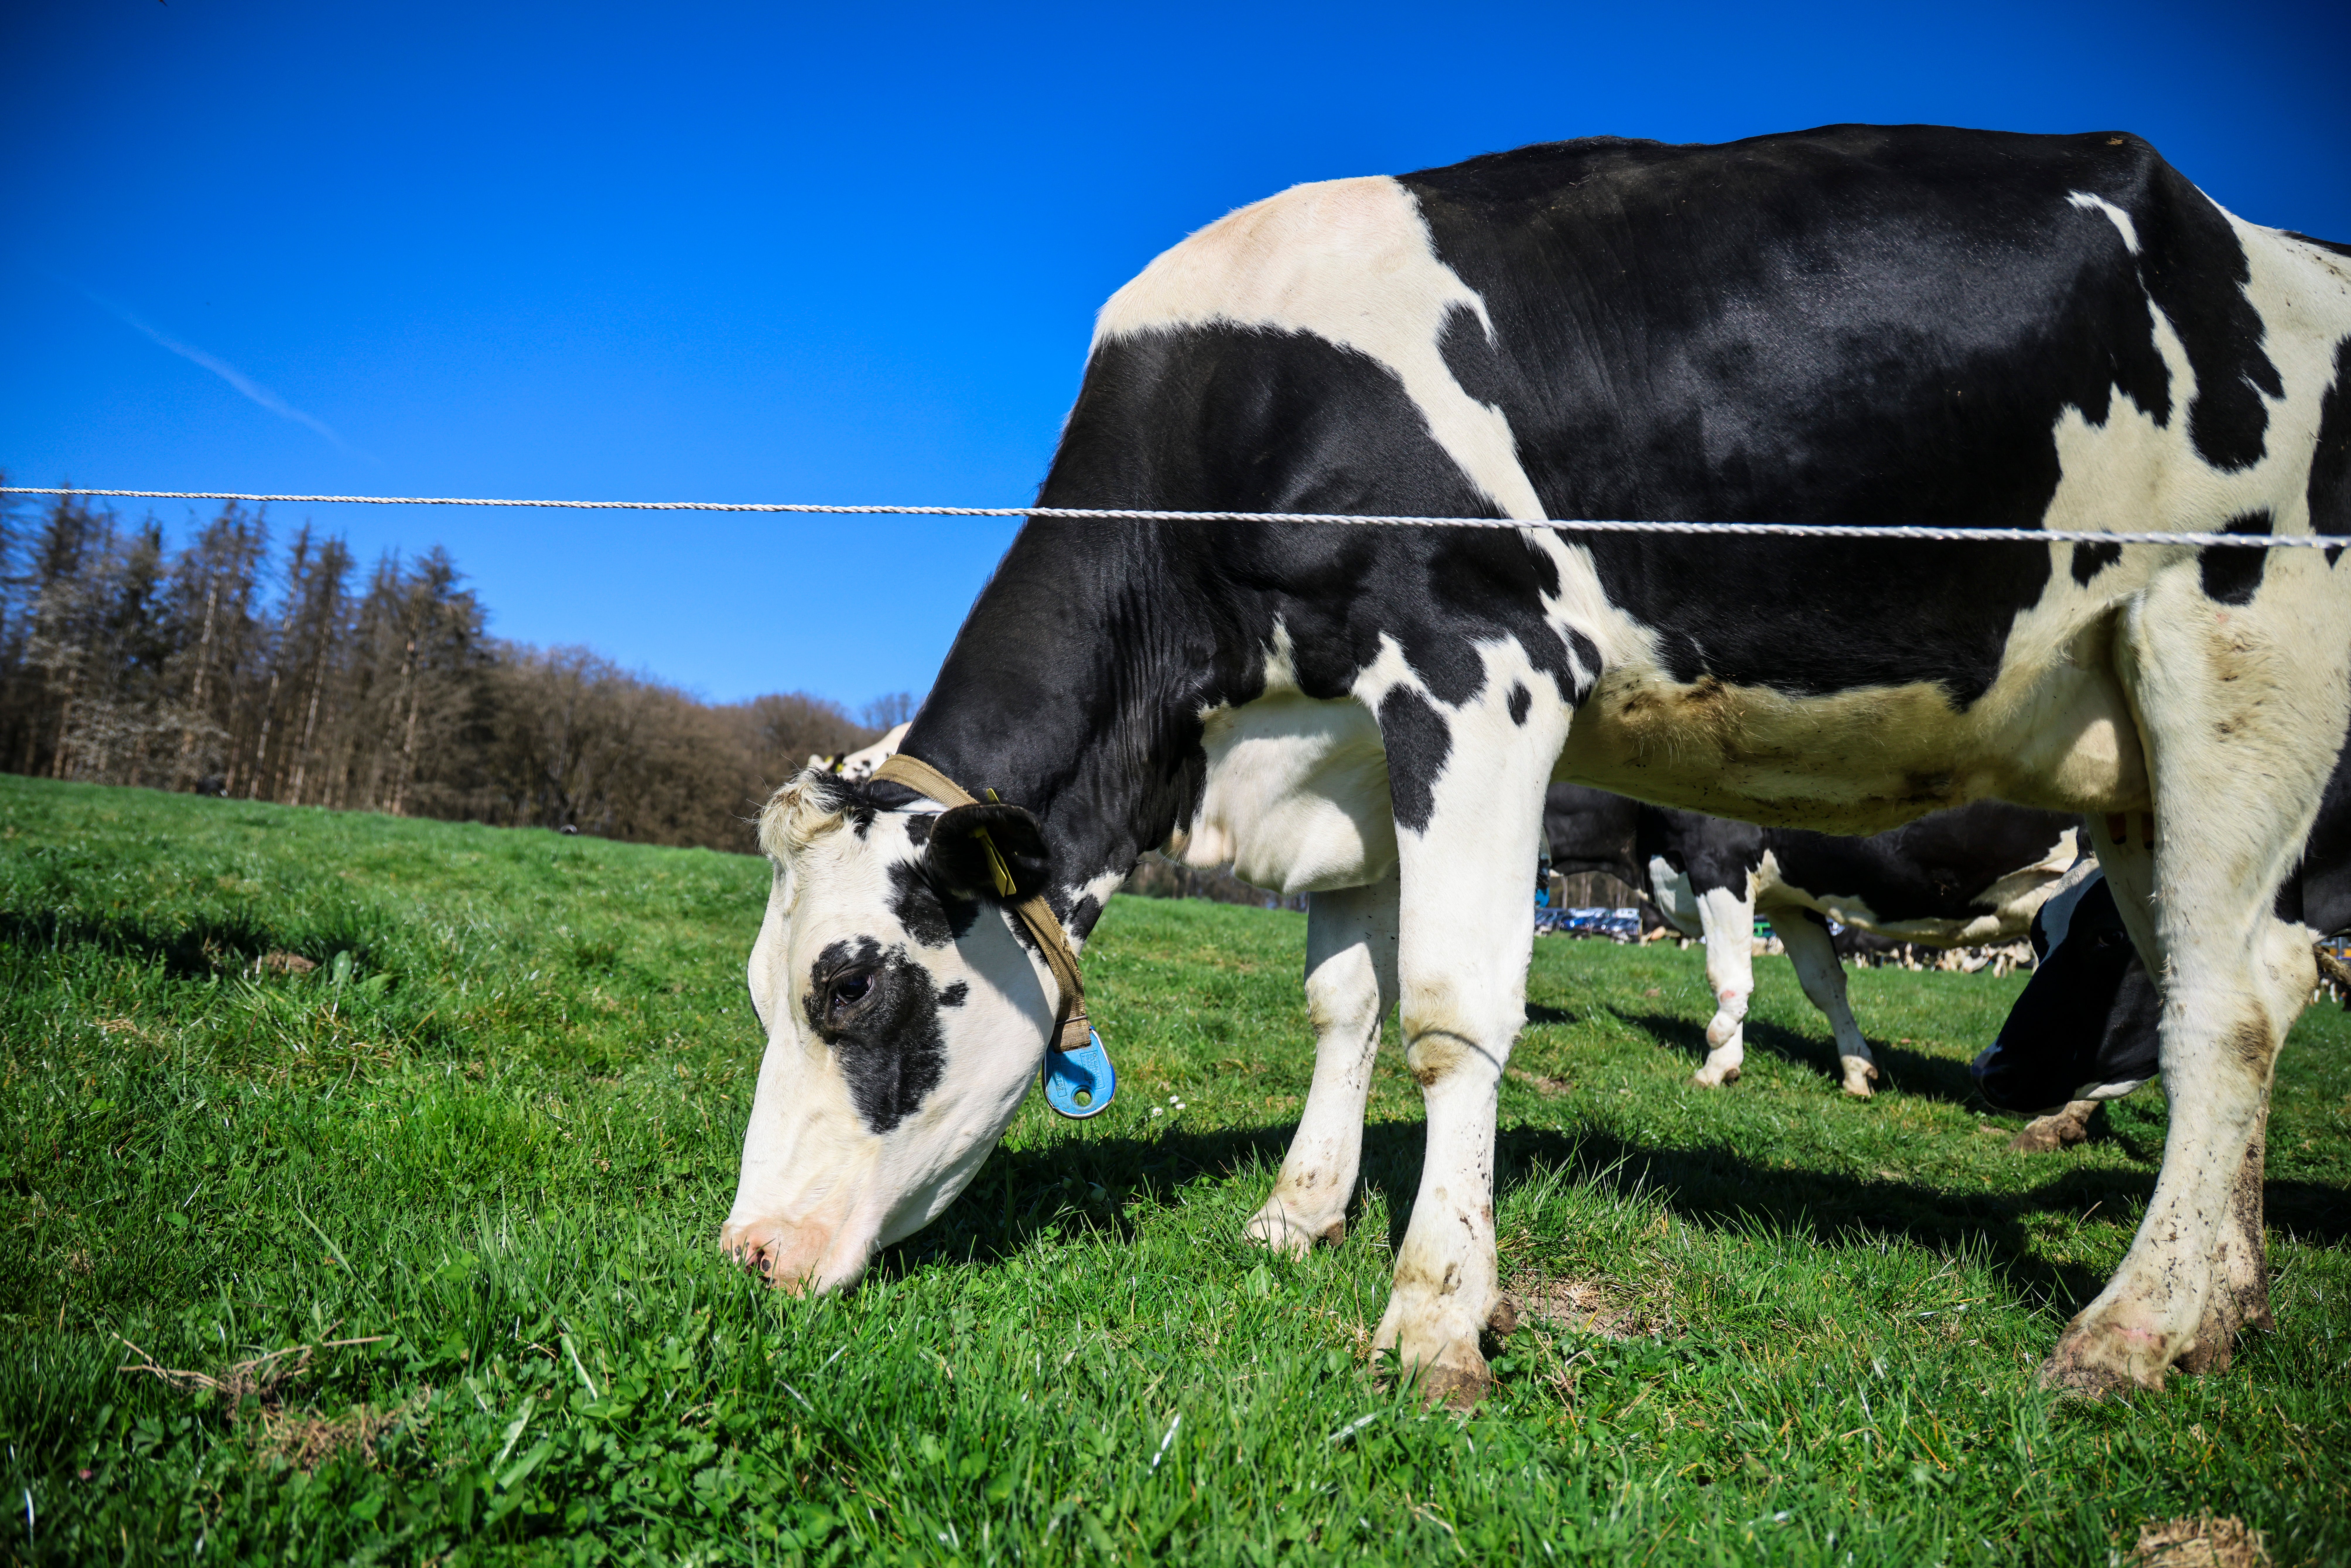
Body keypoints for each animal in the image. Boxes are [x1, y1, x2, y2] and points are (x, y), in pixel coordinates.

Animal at [725, 125, 2351, 1404]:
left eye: (849, 985)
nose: (748, 1253)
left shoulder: (1480, 663)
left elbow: (1450, 1009)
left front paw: (1435, 1310)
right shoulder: (1350, 759)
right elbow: (1342, 1003)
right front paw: (1297, 1216)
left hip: (2233, 639)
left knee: (2228, 1000)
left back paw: (2136, 1323)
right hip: (2132, 760)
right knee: (2216, 984)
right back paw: (2224, 1294)